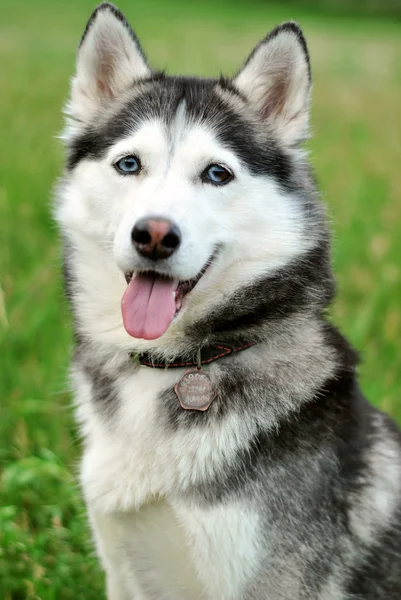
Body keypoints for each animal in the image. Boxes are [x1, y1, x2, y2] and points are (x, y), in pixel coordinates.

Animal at [55, 2, 400, 596]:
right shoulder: (122, 568)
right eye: (129, 164)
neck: (173, 366)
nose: (154, 235)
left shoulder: (270, 580)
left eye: (217, 173)